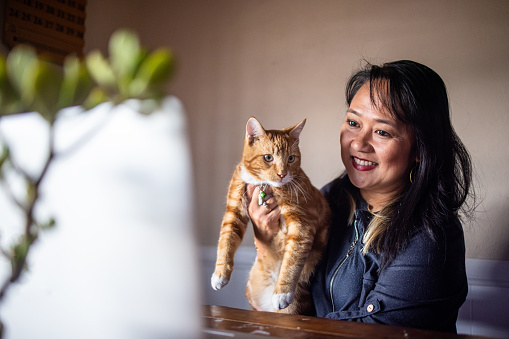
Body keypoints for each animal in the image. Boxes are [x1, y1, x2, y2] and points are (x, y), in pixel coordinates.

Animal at [209, 117, 330, 316]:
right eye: (268, 157)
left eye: (291, 158)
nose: (282, 174)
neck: (263, 184)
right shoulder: (233, 211)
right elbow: (225, 241)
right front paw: (220, 275)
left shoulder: (302, 224)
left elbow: (292, 259)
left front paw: (282, 293)